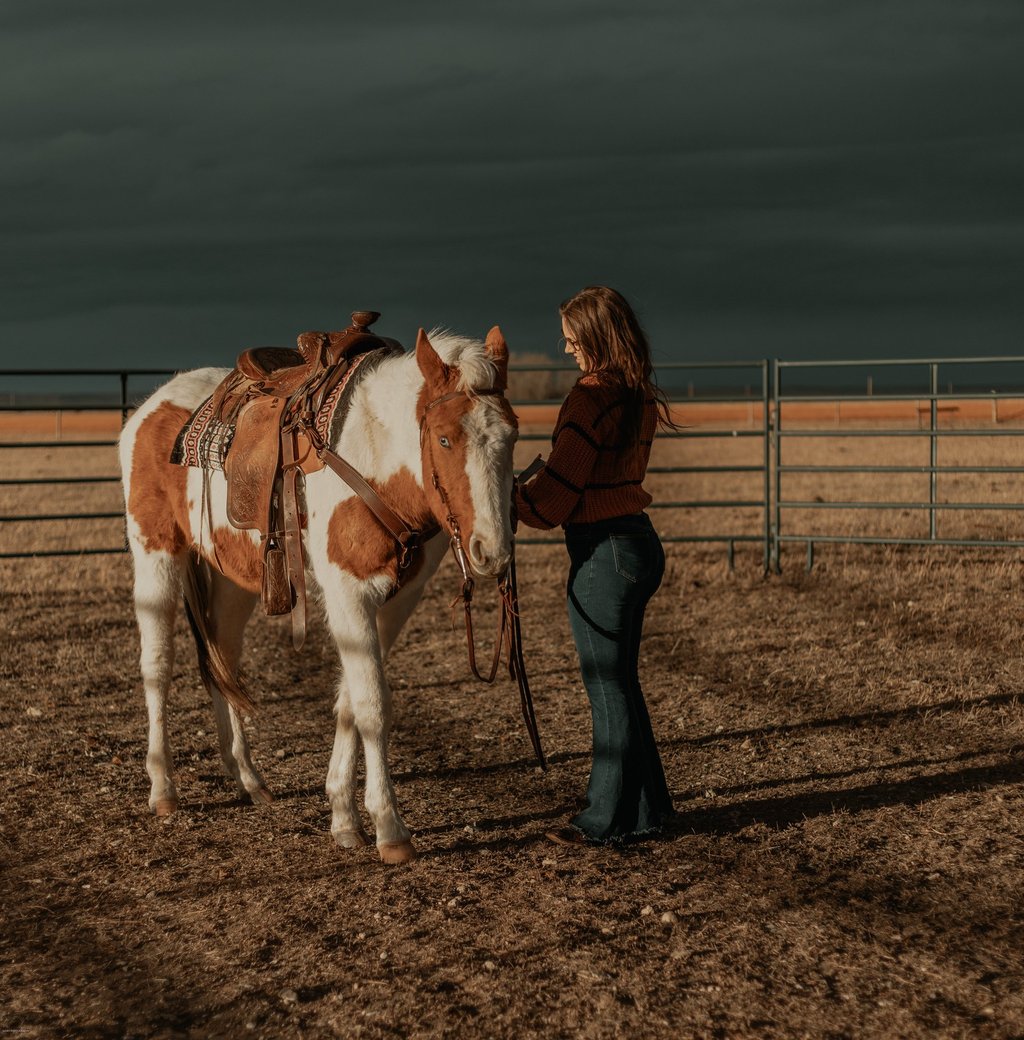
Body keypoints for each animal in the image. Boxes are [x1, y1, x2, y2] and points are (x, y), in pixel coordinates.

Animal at [118, 326, 518, 864]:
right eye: (444, 438)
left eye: (512, 434)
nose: (491, 552)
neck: (372, 453)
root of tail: (151, 406)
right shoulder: (348, 592)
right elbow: (372, 705)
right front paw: (390, 828)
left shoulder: (396, 601)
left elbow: (349, 700)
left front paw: (344, 817)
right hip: (155, 553)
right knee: (157, 667)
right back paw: (163, 788)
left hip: (232, 580)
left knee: (223, 662)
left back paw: (248, 778)